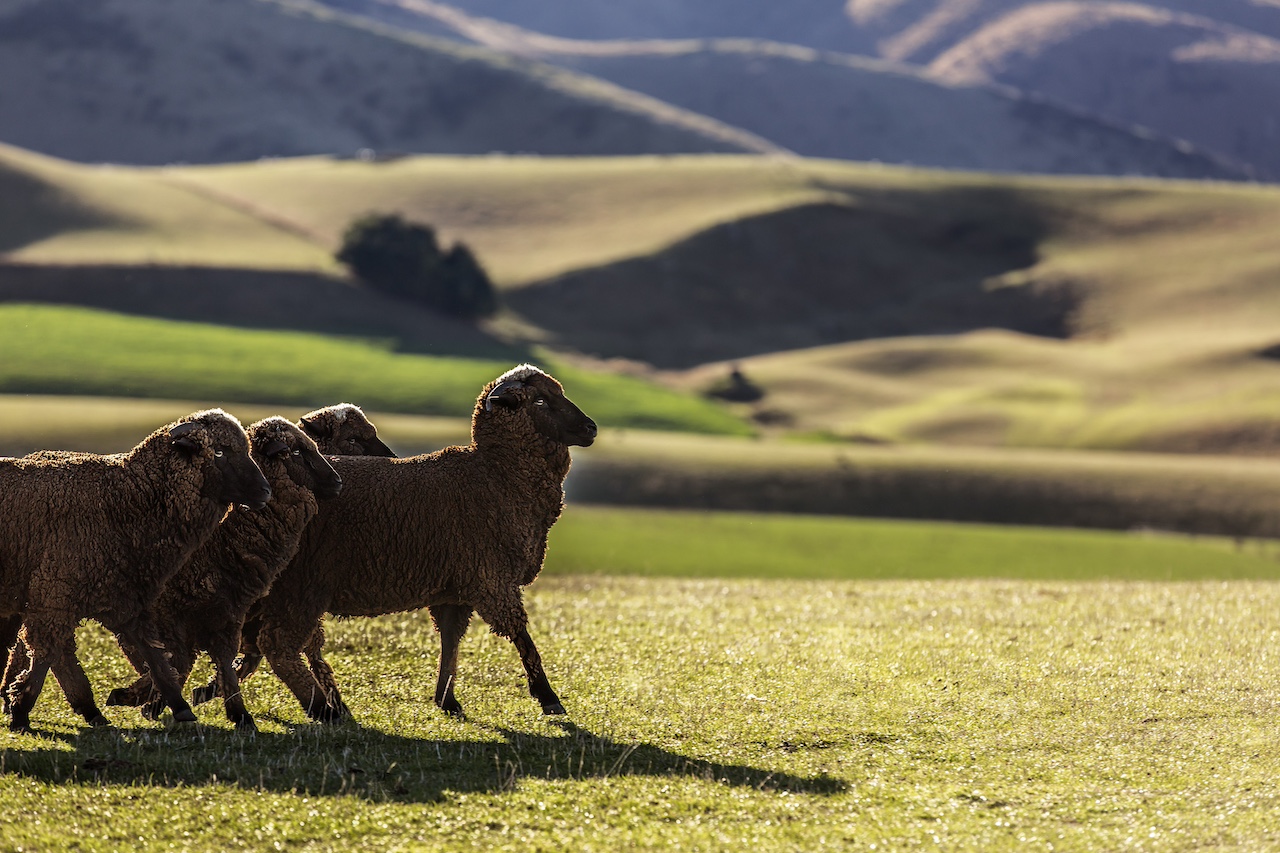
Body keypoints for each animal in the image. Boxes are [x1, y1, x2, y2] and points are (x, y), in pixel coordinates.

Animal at [0, 409, 270, 727]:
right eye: (219, 452)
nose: (265, 492)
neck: (125, 500)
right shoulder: (55, 596)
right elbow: (45, 656)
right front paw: (20, 709)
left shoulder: (127, 600)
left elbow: (155, 656)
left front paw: (179, 707)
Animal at [104, 414, 343, 727]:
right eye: (295, 452)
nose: (338, 482)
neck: (225, 536)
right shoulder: (169, 609)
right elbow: (177, 657)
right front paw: (145, 698)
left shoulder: (231, 609)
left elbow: (221, 658)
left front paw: (236, 712)